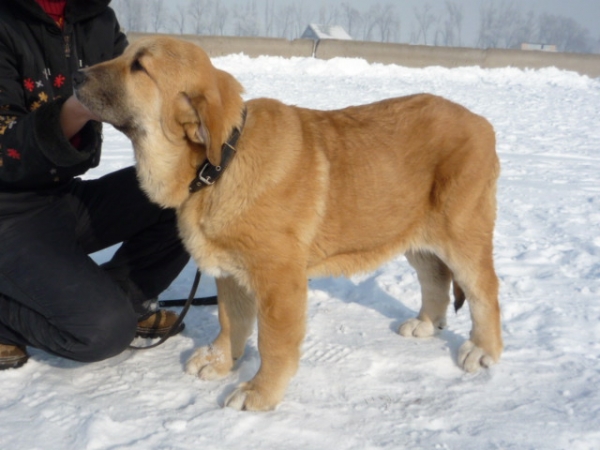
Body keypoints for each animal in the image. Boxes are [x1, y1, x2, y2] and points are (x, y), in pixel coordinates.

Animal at [77, 37, 504, 412]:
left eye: (139, 66)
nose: (77, 76)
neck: (221, 163)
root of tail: (483, 123)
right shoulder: (230, 273)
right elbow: (230, 322)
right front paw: (220, 361)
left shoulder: (279, 281)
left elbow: (274, 343)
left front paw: (259, 393)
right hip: (411, 232)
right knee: (436, 278)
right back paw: (426, 325)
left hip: (461, 233)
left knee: (484, 291)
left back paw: (484, 350)